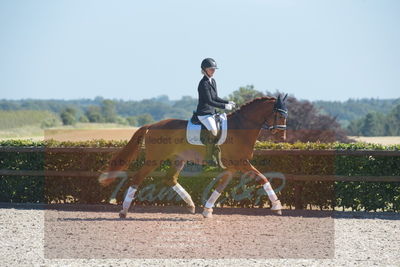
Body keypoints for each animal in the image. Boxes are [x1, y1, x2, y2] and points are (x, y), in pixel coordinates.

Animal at [99, 95, 288, 219]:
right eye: (280, 115)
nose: (282, 137)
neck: (241, 127)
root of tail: (152, 125)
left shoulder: (233, 167)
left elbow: (221, 186)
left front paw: (207, 210)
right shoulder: (241, 163)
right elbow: (263, 178)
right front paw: (277, 206)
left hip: (178, 159)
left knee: (170, 179)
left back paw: (190, 204)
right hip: (155, 160)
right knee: (138, 178)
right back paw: (123, 211)